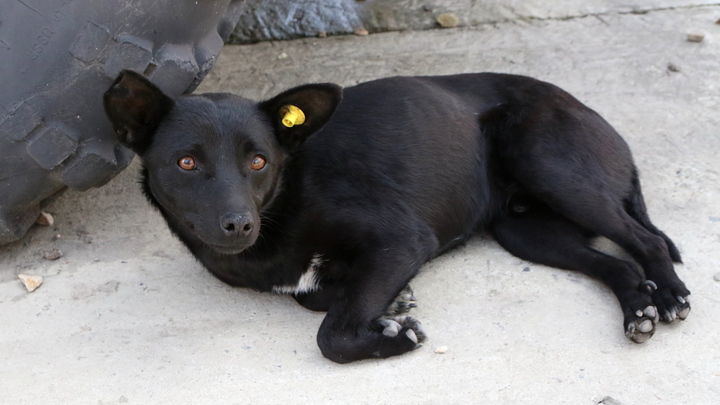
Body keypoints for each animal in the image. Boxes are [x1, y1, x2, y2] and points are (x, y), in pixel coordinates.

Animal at [104, 70, 688, 362]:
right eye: (186, 162)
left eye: (258, 160)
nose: (237, 225)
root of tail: (596, 117)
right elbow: (312, 296)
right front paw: (390, 307)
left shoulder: (403, 240)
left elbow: (330, 336)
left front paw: (390, 335)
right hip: (523, 230)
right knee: (615, 263)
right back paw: (639, 308)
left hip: (547, 162)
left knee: (648, 242)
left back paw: (668, 295)